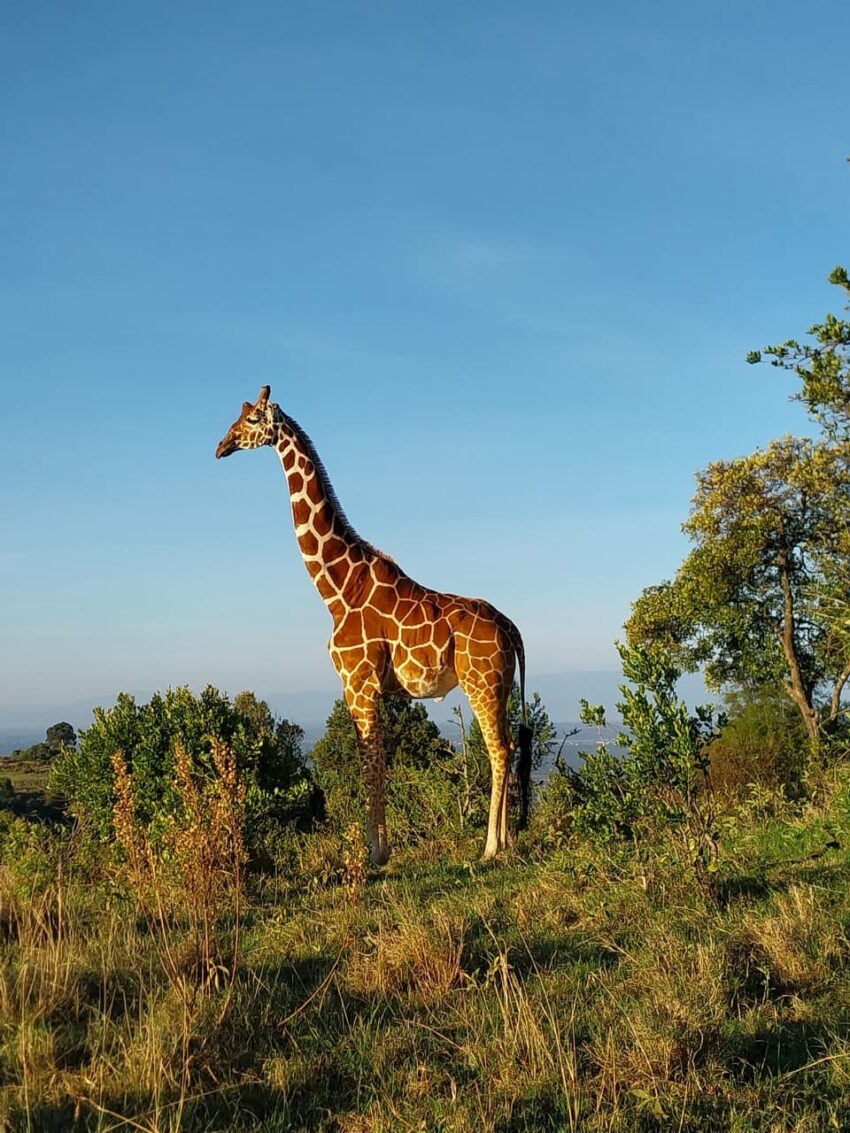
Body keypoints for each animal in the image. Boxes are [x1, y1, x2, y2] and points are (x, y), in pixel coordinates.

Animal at [216, 385, 532, 865]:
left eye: (252, 420)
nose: (221, 446)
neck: (338, 589)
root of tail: (511, 628)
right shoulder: (367, 688)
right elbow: (377, 760)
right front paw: (380, 849)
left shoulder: (358, 682)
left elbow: (369, 762)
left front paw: (374, 854)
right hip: (498, 685)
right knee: (508, 747)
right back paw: (506, 841)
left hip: (483, 683)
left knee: (499, 749)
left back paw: (491, 847)